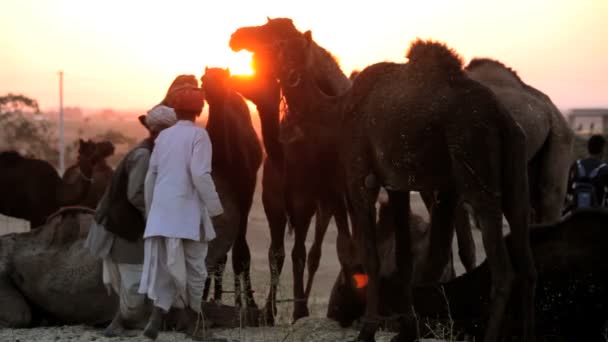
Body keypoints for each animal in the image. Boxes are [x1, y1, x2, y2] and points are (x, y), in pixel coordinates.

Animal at [201, 68, 262, 308]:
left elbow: (241, 252)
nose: (212, 90)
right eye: (203, 79)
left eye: (224, 79)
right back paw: (216, 296)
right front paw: (205, 296)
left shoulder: (245, 196)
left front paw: (246, 303)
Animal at [230, 16, 358, 324]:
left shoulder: (310, 202)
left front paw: (300, 310)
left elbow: (300, 253)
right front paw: (268, 311)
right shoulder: (274, 205)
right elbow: (276, 254)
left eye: (270, 32)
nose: (236, 37)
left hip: (329, 201)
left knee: (318, 251)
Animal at [274, 38, 536, 342]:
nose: (275, 70)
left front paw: (367, 331)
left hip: (476, 162)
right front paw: (406, 330)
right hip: (517, 167)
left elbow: (371, 256)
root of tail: (501, 117)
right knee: (527, 263)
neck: (339, 110)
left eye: (283, 49)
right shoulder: (396, 184)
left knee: (504, 270)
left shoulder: (359, 175)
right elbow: (402, 259)